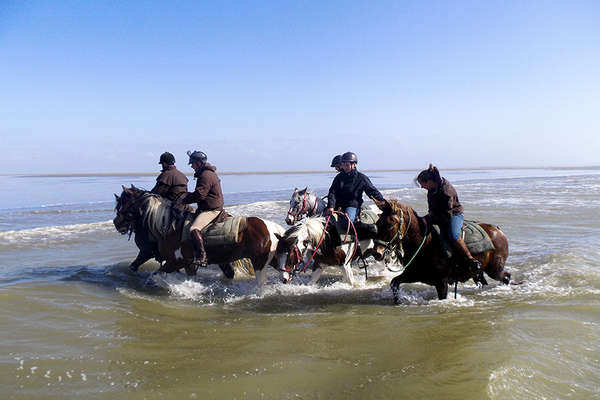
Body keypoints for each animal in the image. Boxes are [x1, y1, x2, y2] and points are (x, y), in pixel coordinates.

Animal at [116, 186, 288, 286]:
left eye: (123, 203)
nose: (117, 223)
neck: (169, 225)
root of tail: (271, 228)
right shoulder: (188, 264)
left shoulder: (175, 262)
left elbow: (155, 274)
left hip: (260, 261)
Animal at [372, 198, 508, 302]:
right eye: (377, 223)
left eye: (390, 224)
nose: (377, 253)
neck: (425, 243)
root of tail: (498, 230)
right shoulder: (413, 275)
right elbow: (394, 283)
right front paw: (397, 301)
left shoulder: (441, 283)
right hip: (480, 273)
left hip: (495, 270)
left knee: (506, 277)